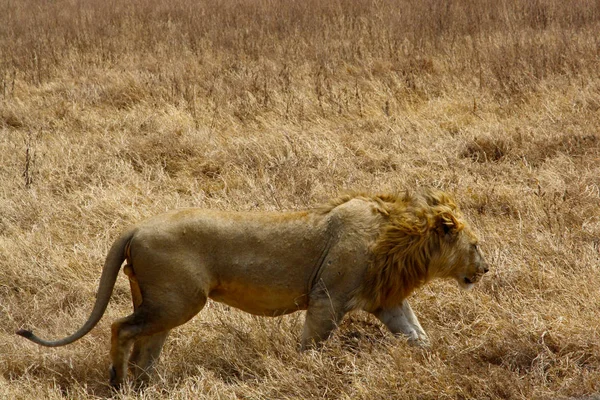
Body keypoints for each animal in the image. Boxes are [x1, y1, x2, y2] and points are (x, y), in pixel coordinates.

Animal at [16, 188, 490, 388]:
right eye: (476, 244)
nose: (485, 269)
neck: (401, 238)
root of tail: (135, 226)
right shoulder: (327, 299)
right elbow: (311, 344)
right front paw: (305, 374)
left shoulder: (388, 303)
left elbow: (419, 337)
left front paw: (433, 363)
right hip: (178, 301)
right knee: (120, 328)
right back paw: (118, 382)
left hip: (165, 305)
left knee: (144, 348)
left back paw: (146, 387)